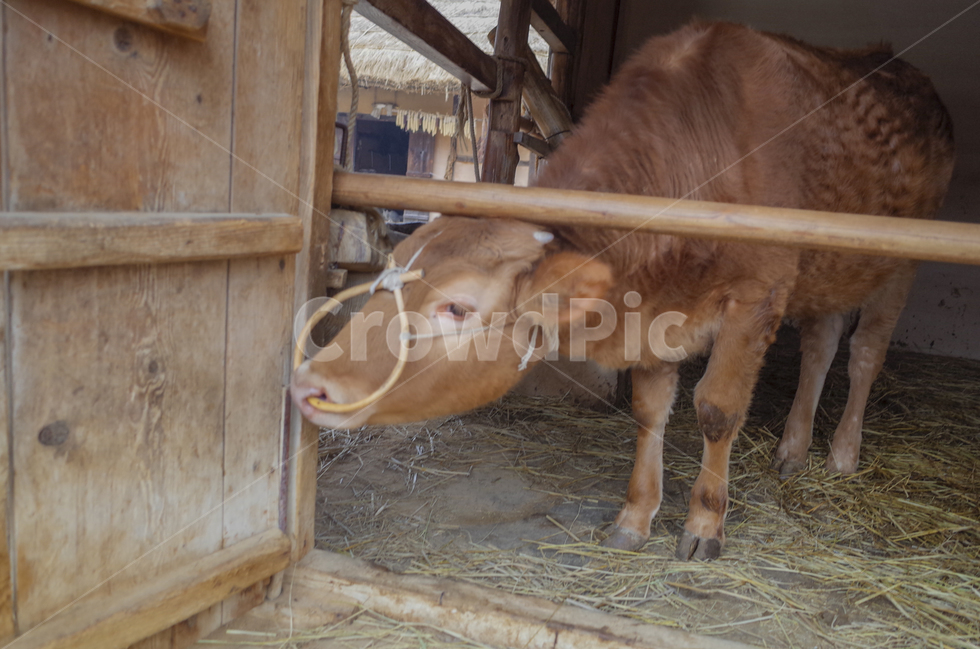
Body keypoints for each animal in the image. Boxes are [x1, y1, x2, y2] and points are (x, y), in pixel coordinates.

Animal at [292, 21, 955, 560]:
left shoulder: (758, 294)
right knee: (821, 345)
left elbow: (717, 409)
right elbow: (648, 411)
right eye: (386, 280)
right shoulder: (656, 311)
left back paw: (841, 454)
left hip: (901, 261)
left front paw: (704, 525)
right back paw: (793, 449)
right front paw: (636, 517)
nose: (308, 385)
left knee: (865, 353)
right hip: (831, 268)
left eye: (457, 307)